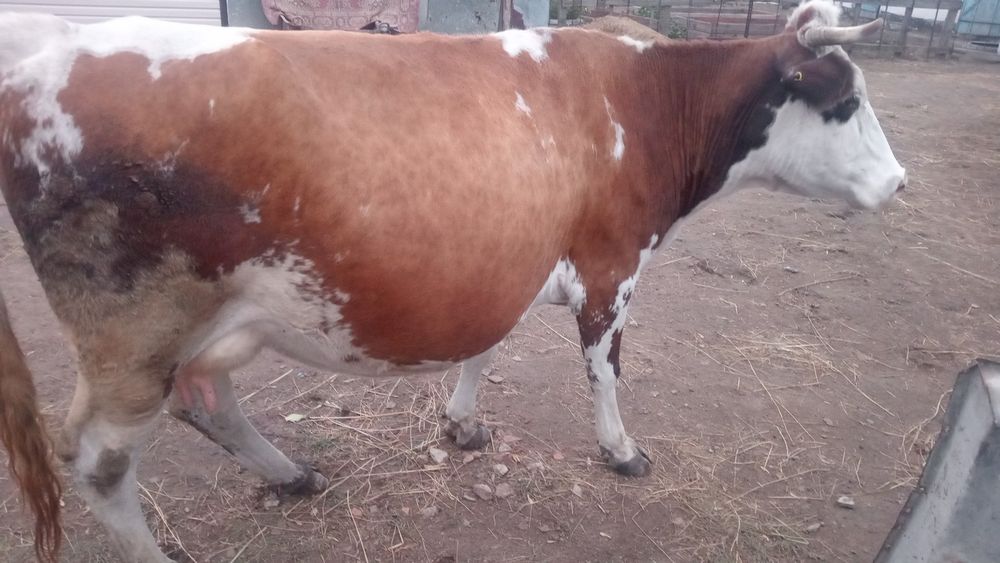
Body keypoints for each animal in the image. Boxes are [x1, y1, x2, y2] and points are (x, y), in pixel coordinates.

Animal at [0, 1, 905, 560]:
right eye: (844, 102)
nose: (899, 183)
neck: (643, 99)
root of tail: (42, 44)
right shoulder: (613, 261)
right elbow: (606, 369)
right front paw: (620, 449)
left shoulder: (509, 253)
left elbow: (487, 344)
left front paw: (462, 423)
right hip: (132, 334)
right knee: (100, 461)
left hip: (209, 323)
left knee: (205, 400)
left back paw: (290, 472)